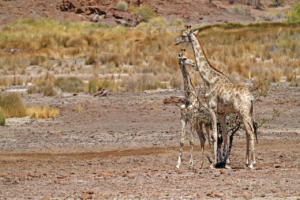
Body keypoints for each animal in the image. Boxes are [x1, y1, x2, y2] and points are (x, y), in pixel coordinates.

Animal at [175, 25, 256, 168]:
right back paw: (248, 162)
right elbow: (224, 134)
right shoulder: (221, 112)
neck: (209, 79)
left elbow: (213, 135)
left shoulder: (212, 108)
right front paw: (226, 163)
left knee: (250, 131)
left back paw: (251, 164)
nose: (176, 41)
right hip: (248, 112)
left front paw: (213, 163)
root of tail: (251, 98)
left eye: (183, 35)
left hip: (243, 112)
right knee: (248, 131)